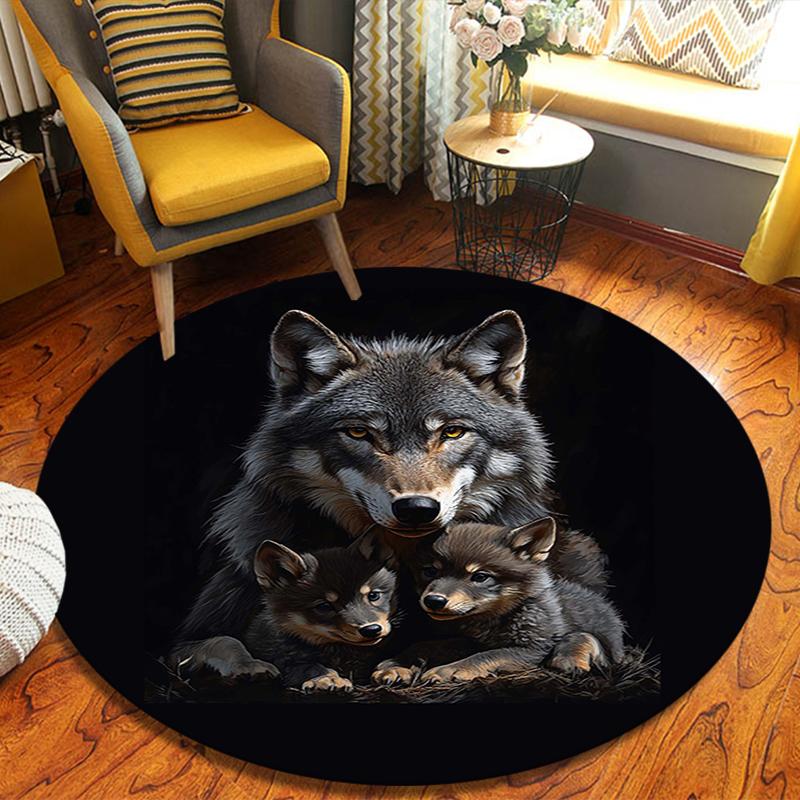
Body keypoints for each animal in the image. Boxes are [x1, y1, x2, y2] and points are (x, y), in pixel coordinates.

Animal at [387, 518, 625, 684]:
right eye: (430, 571)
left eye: (480, 577)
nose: (433, 601)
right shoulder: (468, 640)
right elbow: (427, 644)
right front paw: (394, 665)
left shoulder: (535, 647)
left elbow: (487, 656)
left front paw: (448, 670)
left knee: (586, 640)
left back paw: (571, 658)